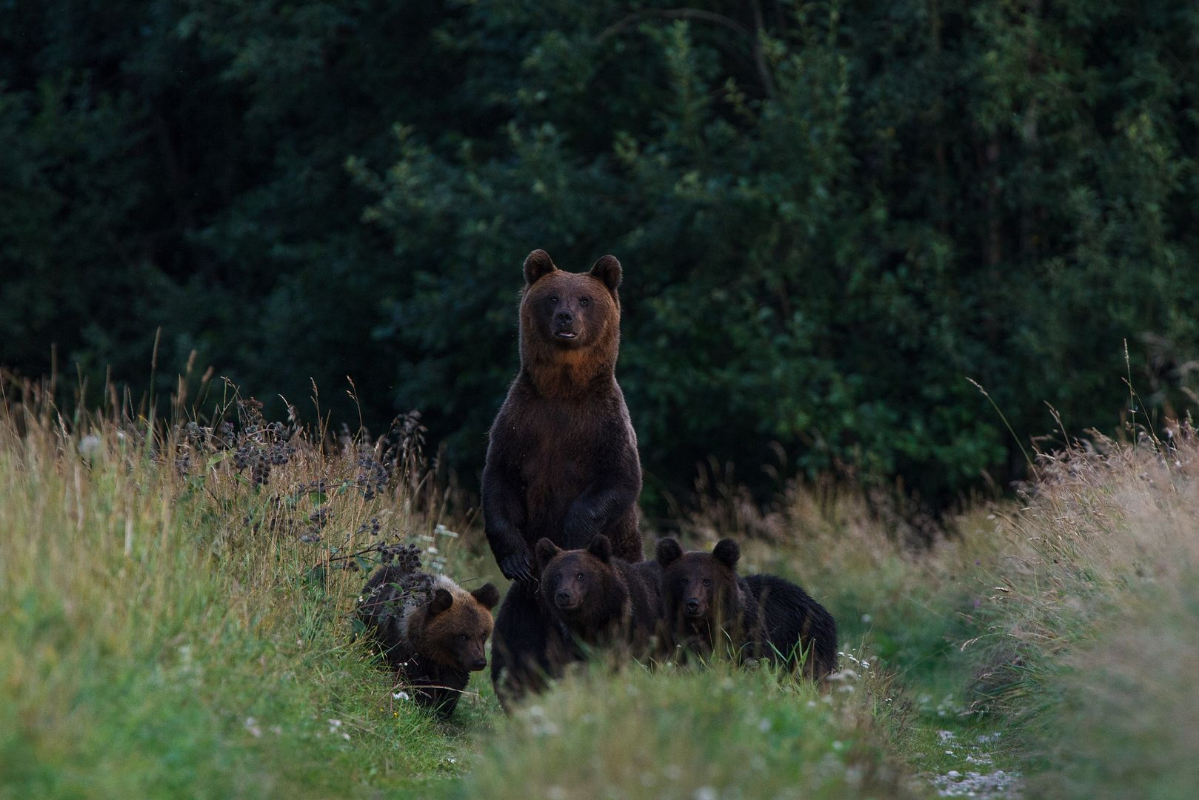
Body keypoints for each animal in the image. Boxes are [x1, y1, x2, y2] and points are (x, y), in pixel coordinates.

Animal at [481, 250, 642, 705]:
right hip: (526, 607)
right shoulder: (521, 423)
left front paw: (572, 531)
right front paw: (516, 558)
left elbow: (618, 481)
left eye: (585, 299)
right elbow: (498, 482)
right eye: (552, 296)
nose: (566, 317)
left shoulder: (604, 427)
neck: (564, 390)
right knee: (513, 646)